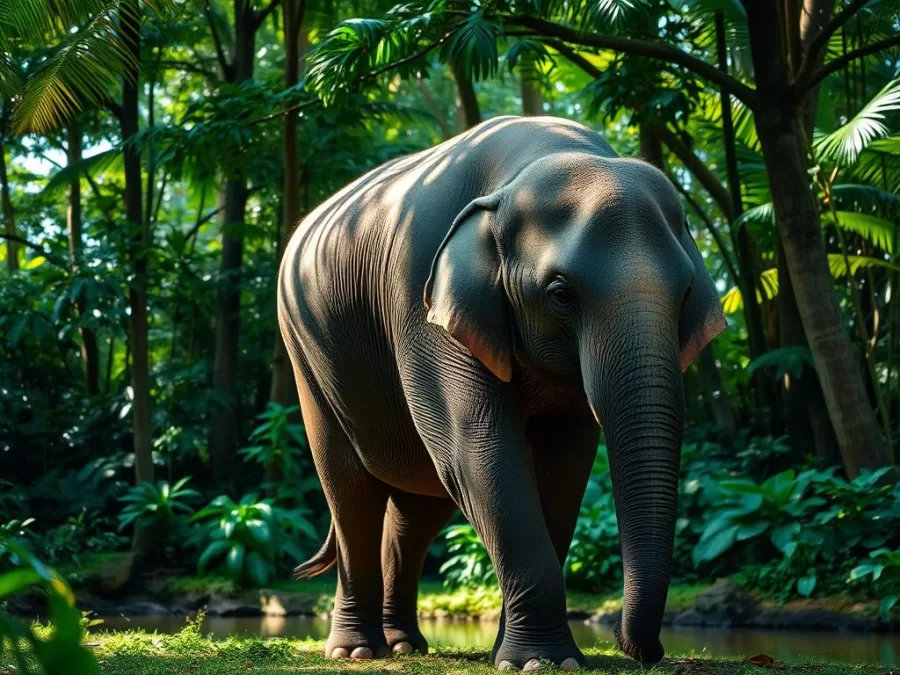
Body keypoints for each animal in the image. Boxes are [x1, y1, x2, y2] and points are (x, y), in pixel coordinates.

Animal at [277, 115, 726, 671]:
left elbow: (563, 466)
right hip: (305, 351)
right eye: (560, 293)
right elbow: (480, 449)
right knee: (351, 490)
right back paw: (357, 650)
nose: (644, 649)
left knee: (419, 507)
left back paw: (405, 644)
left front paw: (521, 656)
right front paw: (541, 661)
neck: (528, 165)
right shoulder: (421, 297)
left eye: (686, 293)